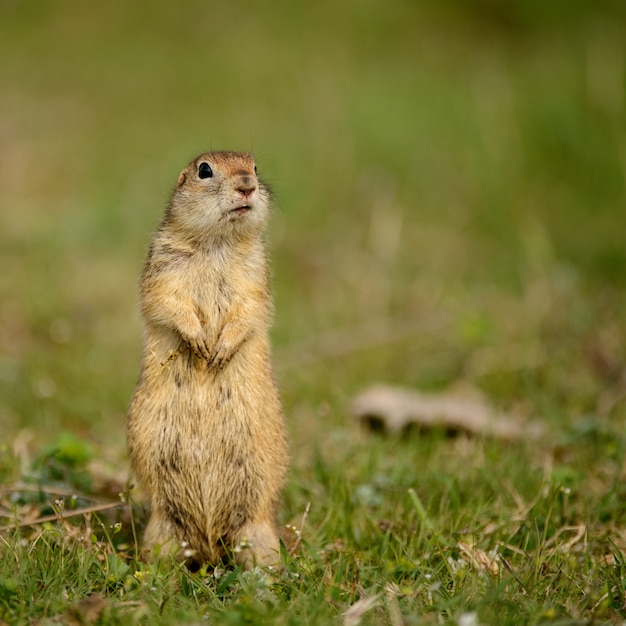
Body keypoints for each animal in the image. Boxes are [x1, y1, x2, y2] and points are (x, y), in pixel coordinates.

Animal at [127, 150, 288, 564]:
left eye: (255, 166)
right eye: (205, 170)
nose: (247, 185)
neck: (218, 244)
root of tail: (210, 543)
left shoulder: (255, 275)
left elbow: (251, 310)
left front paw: (219, 351)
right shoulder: (164, 265)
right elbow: (165, 300)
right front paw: (199, 343)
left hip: (257, 529)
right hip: (163, 527)